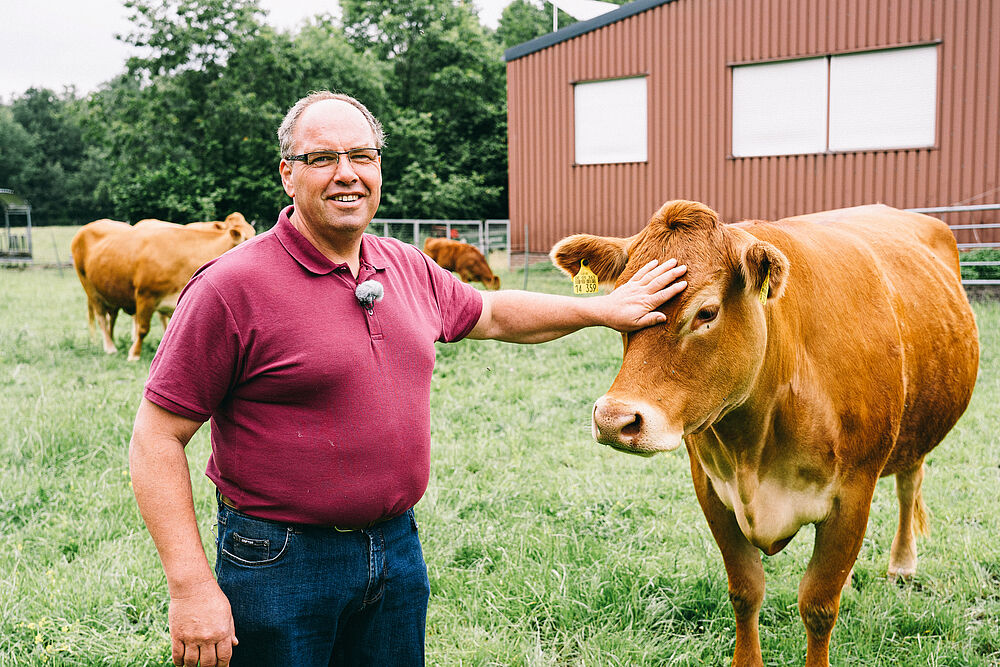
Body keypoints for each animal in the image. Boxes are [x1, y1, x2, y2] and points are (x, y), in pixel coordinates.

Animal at [71, 214, 256, 360]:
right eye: (245, 239)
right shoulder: (145, 295)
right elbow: (143, 329)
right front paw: (134, 354)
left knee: (112, 318)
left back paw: (111, 341)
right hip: (89, 287)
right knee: (102, 318)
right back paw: (110, 348)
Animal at [548, 200, 976, 667]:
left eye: (707, 312)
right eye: (623, 303)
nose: (615, 419)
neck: (752, 449)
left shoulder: (853, 495)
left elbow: (818, 605)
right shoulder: (711, 488)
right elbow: (745, 591)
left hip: (917, 429)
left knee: (908, 485)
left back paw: (902, 564)